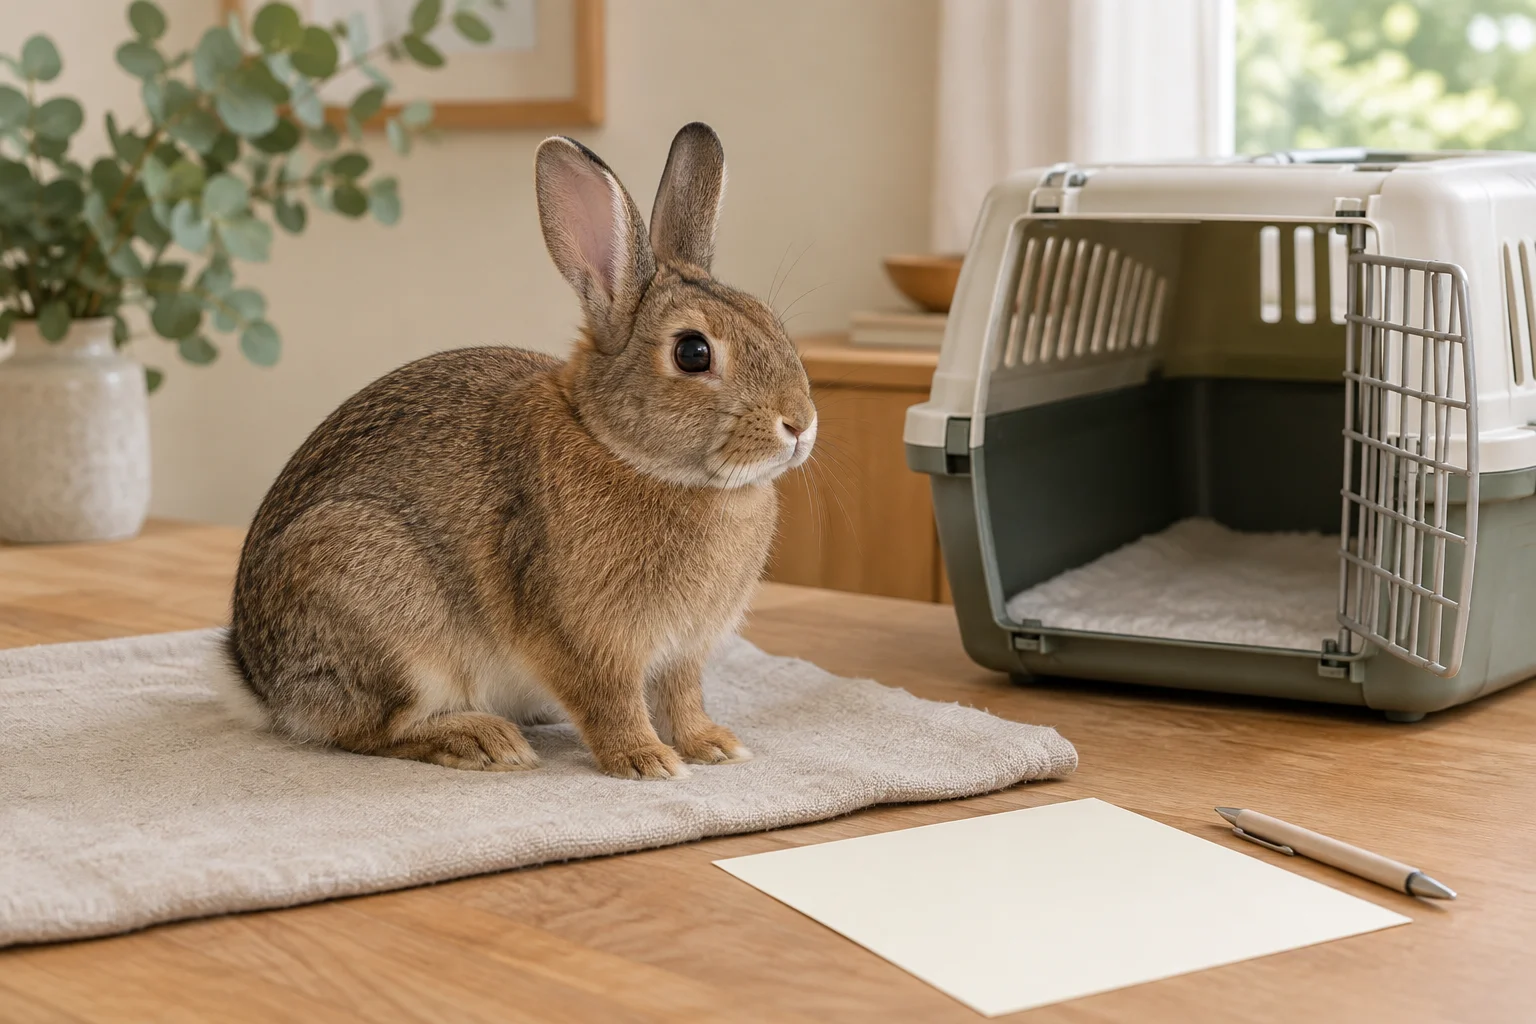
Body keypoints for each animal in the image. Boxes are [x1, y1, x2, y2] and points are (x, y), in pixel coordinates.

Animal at [215, 122, 817, 779]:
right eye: (692, 353)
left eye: (768, 320)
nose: (800, 424)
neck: (620, 447)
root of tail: (260, 683)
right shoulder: (583, 640)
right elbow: (611, 702)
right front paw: (646, 760)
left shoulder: (683, 652)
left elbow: (683, 698)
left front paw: (714, 745)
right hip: (377, 602)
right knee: (371, 729)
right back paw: (482, 740)